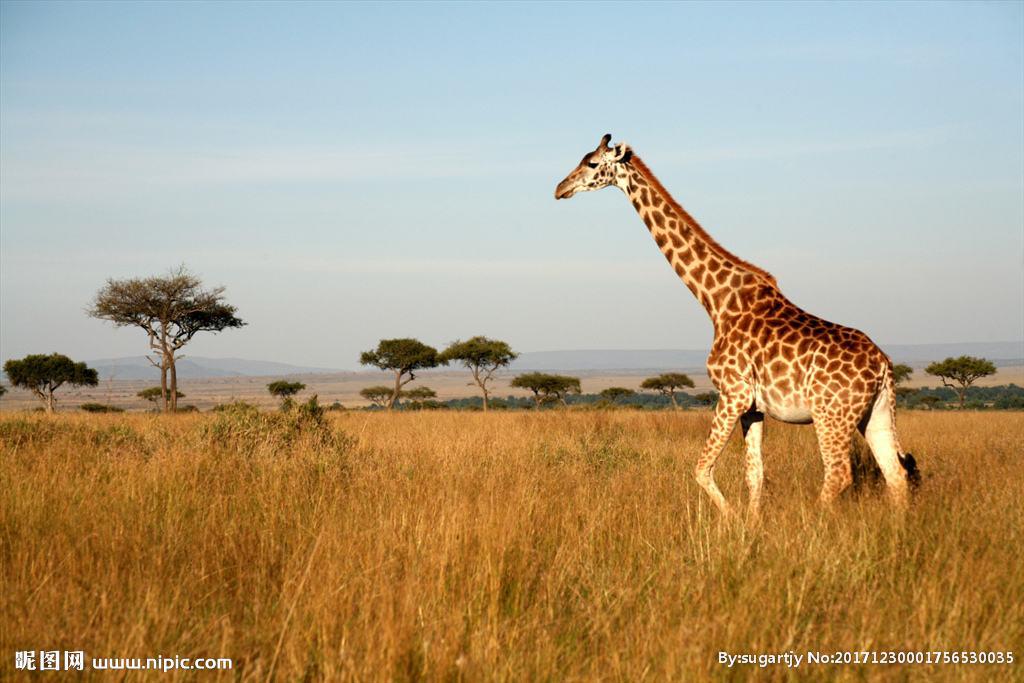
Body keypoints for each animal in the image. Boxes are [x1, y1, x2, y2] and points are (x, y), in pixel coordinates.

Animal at [552, 135, 921, 518]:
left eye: (593, 163)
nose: (560, 188)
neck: (716, 301)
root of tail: (883, 366)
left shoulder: (732, 393)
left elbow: (701, 468)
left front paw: (730, 519)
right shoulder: (753, 407)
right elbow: (754, 474)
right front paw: (752, 523)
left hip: (831, 415)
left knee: (838, 473)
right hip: (876, 412)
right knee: (894, 473)